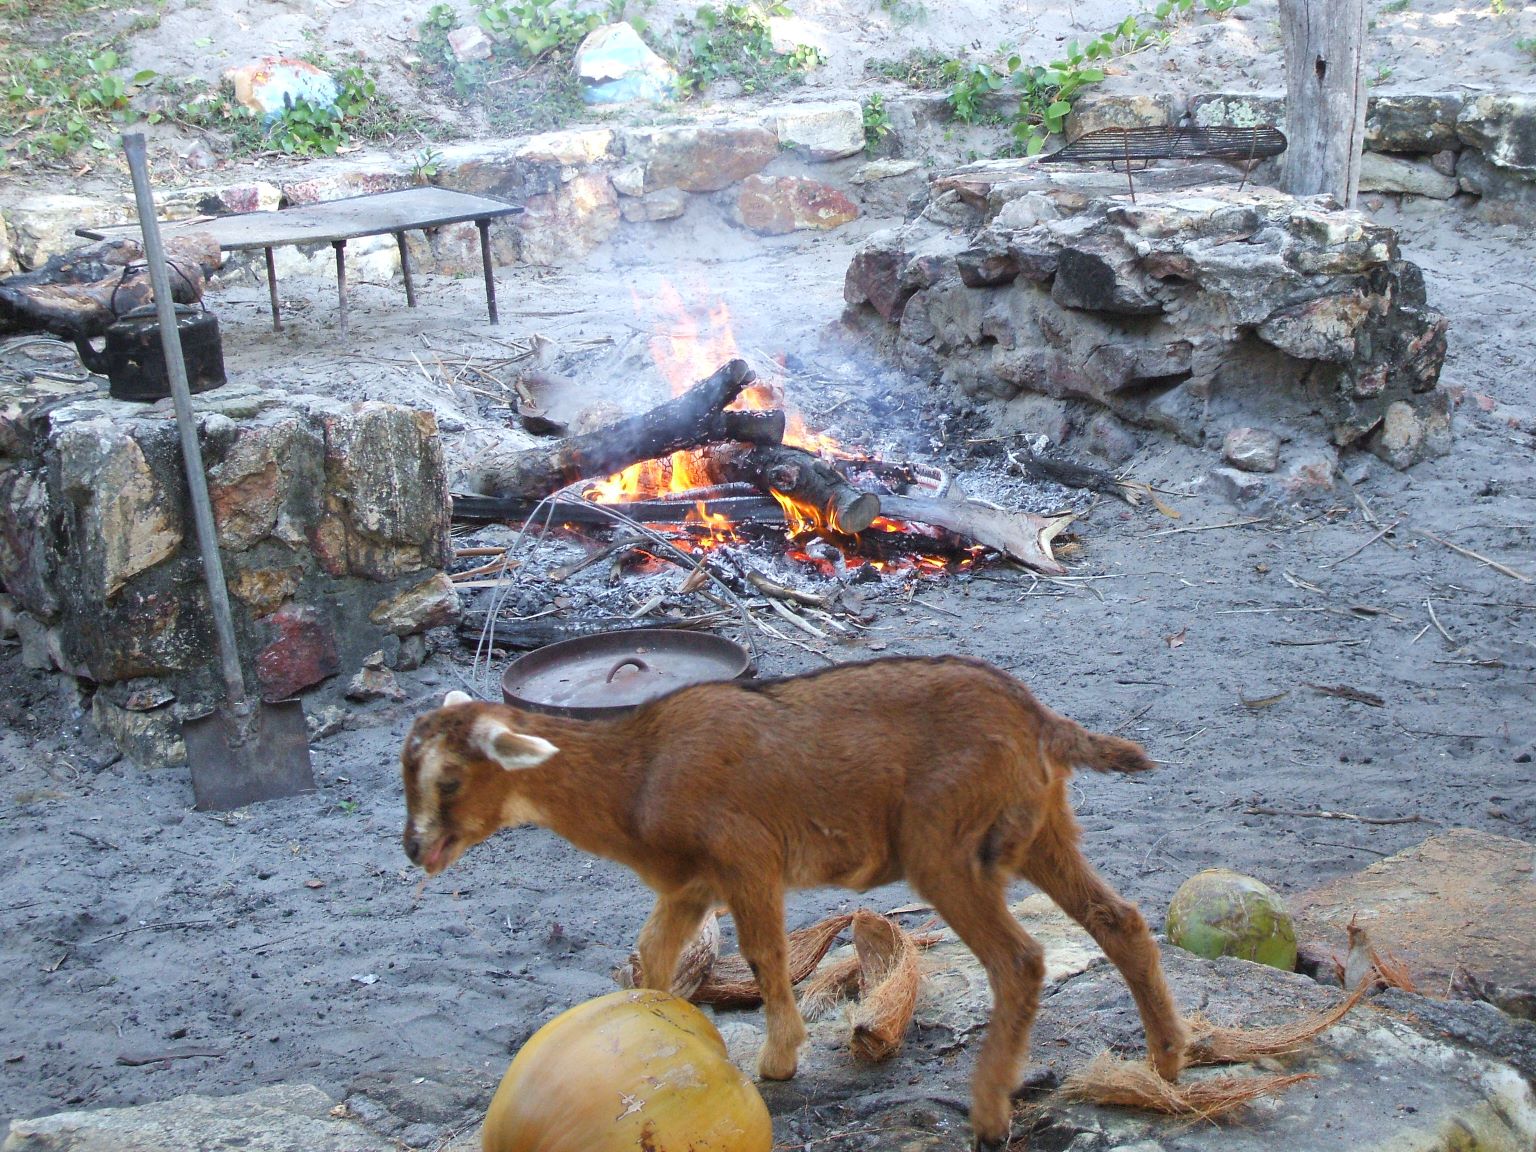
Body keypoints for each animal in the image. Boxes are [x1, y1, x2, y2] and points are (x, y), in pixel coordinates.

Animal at [400, 655, 1188, 1148]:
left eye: (449, 780)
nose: (413, 849)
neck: (637, 772)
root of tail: (1038, 719)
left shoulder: (746, 859)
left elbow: (763, 954)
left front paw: (778, 1061)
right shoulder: (692, 884)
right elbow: (653, 954)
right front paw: (653, 1028)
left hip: (947, 846)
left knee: (1019, 961)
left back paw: (991, 1115)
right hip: (1039, 827)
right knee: (1119, 920)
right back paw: (1167, 1061)